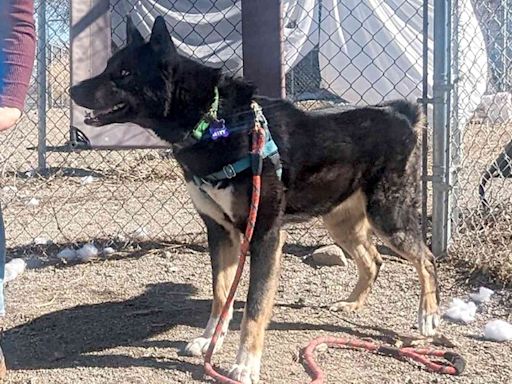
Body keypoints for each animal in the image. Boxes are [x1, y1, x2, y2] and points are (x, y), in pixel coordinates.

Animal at [70, 15, 442, 384]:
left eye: (125, 72)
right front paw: (210, 339)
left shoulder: (265, 235)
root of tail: (400, 113)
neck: (214, 121)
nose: (73, 90)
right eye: (108, 67)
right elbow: (221, 294)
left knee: (425, 258)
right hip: (340, 221)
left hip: (388, 216)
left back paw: (428, 317)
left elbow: (255, 304)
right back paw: (352, 303)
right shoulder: (220, 232)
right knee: (374, 260)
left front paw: (246, 363)